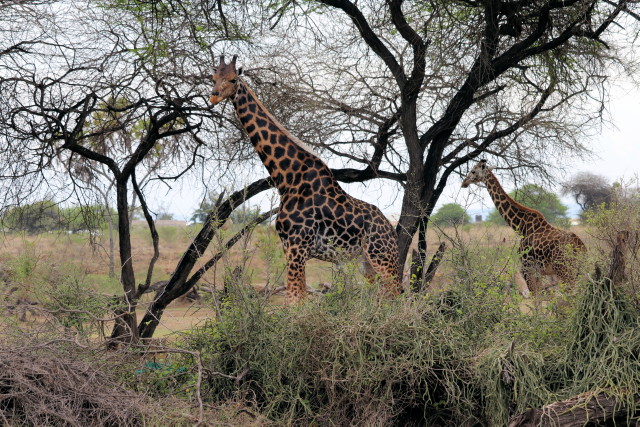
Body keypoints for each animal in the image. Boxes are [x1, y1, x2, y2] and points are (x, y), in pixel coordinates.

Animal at [209, 55, 401, 303]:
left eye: (233, 79)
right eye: (213, 77)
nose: (214, 96)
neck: (287, 179)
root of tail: (391, 230)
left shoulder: (297, 247)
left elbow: (294, 301)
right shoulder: (289, 248)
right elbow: (297, 299)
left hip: (382, 257)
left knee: (400, 297)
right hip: (365, 262)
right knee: (386, 299)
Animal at [462, 159, 586, 295]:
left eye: (473, 171)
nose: (464, 182)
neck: (521, 226)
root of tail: (581, 247)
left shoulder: (527, 268)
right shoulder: (536, 271)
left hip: (564, 270)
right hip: (577, 270)